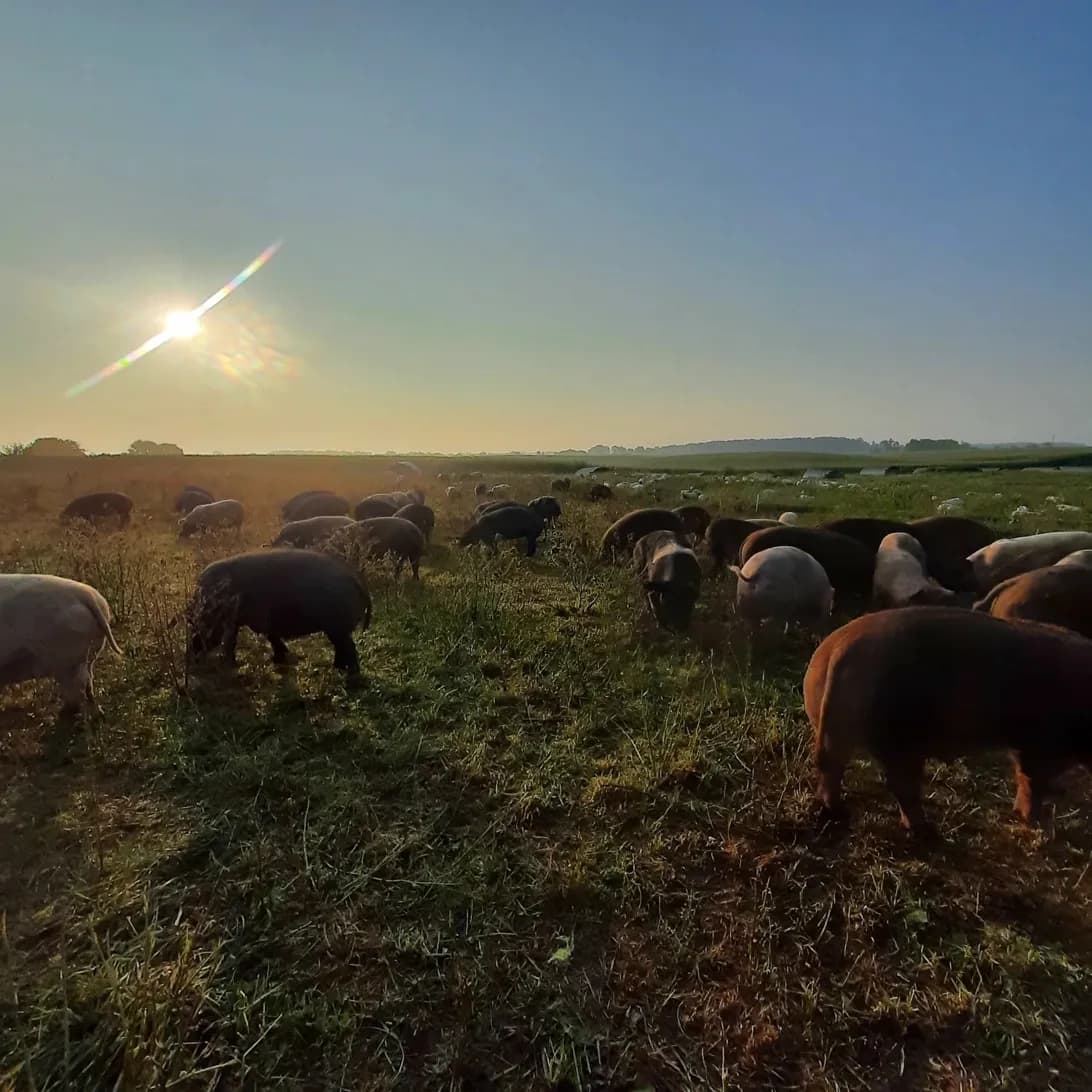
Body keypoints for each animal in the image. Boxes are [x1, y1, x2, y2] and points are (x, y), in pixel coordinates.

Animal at [0, 574, 122, 715]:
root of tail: (87, 594)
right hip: (89, 654)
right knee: (88, 679)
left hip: (67, 660)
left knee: (77, 688)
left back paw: (65, 713)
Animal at [188, 550, 370, 676]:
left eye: (200, 621)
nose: (191, 659)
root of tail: (354, 578)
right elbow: (269, 637)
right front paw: (276, 660)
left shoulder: (249, 619)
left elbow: (237, 640)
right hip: (335, 629)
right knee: (341, 647)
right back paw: (337, 669)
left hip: (338, 626)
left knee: (349, 648)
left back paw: (351, 676)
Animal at [805, 606, 1092, 834]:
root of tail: (838, 649)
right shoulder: (1041, 743)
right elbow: (1033, 782)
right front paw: (1037, 824)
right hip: (900, 735)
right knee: (899, 783)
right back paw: (926, 830)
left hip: (836, 728)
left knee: (832, 766)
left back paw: (838, 813)